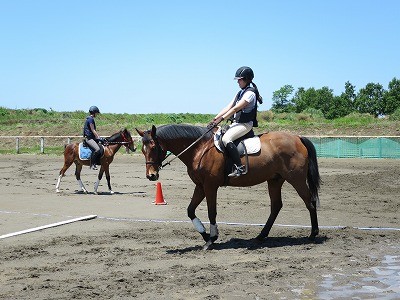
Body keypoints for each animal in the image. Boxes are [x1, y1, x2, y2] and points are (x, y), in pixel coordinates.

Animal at [136, 123, 320, 250]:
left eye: (154, 147)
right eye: (143, 150)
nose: (151, 176)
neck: (200, 148)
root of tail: (297, 138)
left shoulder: (210, 186)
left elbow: (211, 212)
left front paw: (211, 239)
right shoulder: (200, 186)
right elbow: (190, 210)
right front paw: (205, 235)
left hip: (296, 179)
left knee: (309, 202)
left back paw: (313, 234)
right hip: (275, 180)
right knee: (276, 206)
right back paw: (261, 236)